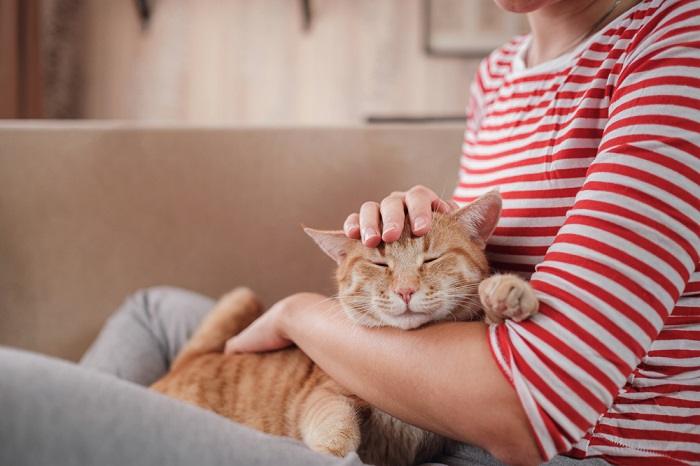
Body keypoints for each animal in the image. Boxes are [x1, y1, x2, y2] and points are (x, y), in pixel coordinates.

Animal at [150, 191, 540, 464]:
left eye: (431, 259)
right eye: (379, 264)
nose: (405, 290)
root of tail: (187, 364)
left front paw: (508, 292)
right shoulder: (325, 393)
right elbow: (334, 421)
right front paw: (331, 451)